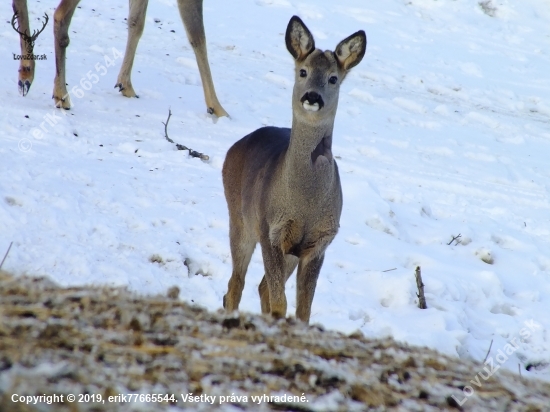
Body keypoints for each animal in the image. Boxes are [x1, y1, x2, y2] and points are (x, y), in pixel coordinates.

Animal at [12, 0, 229, 116]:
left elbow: (136, 22)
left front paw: (125, 84)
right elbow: (198, 37)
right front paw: (217, 108)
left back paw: (26, 73)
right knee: (60, 16)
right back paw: (61, 94)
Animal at [222, 16, 368, 324]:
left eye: (333, 78)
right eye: (303, 71)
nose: (312, 96)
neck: (305, 202)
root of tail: (235, 147)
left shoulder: (319, 243)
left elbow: (302, 310)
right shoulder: (271, 232)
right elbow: (281, 304)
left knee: (259, 287)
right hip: (239, 219)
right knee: (235, 284)